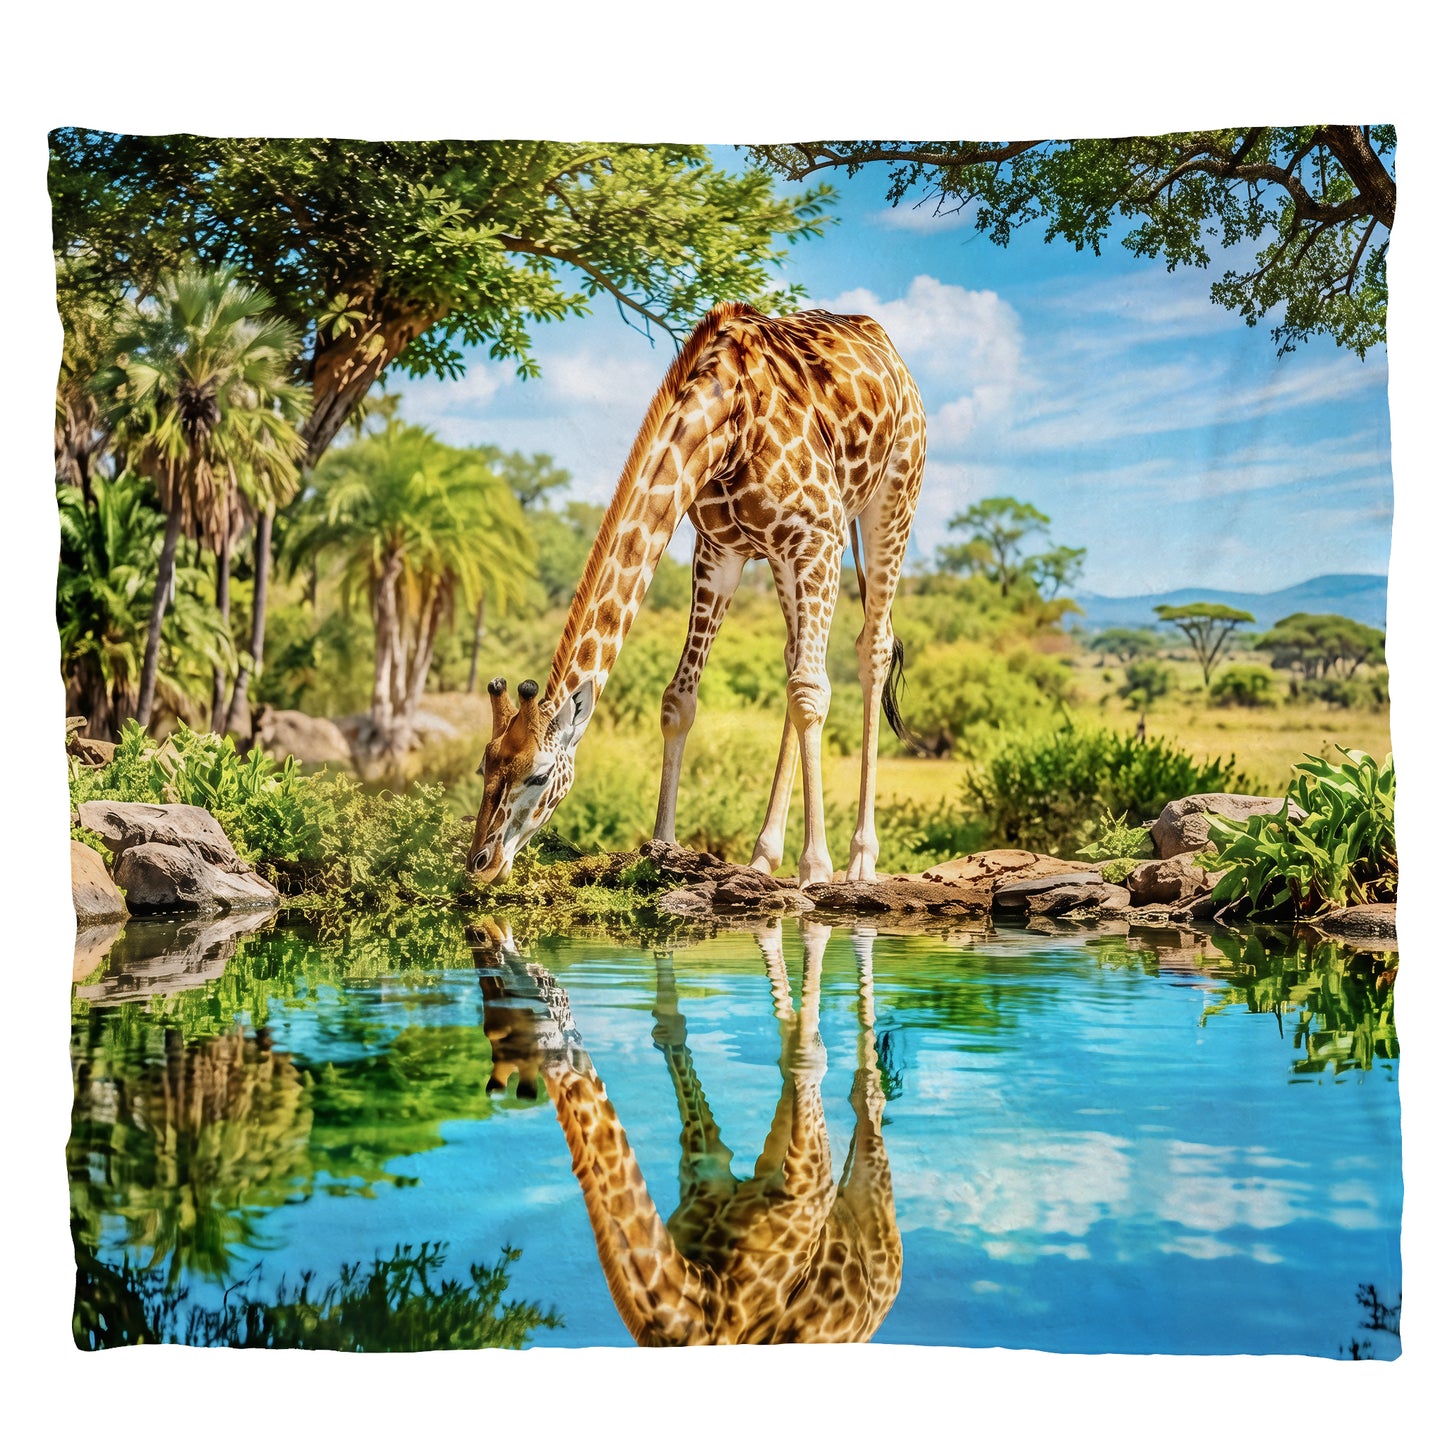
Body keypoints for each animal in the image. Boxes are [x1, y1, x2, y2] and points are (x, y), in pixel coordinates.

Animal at [467, 300, 927, 888]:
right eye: (484, 765)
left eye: (538, 775)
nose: (480, 864)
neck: (727, 421)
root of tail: (885, 344)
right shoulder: (719, 551)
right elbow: (679, 701)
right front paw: (663, 846)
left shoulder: (817, 537)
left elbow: (811, 692)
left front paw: (815, 867)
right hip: (782, 559)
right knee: (793, 658)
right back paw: (762, 854)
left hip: (892, 499)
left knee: (871, 646)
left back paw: (860, 861)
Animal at [470, 919, 902, 1345]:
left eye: (507, 997)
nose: (483, 931)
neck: (710, 1300)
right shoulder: (708, 1165)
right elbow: (670, 1028)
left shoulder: (811, 1189)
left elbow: (808, 1057)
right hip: (780, 1152)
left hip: (872, 1199)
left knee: (866, 1095)